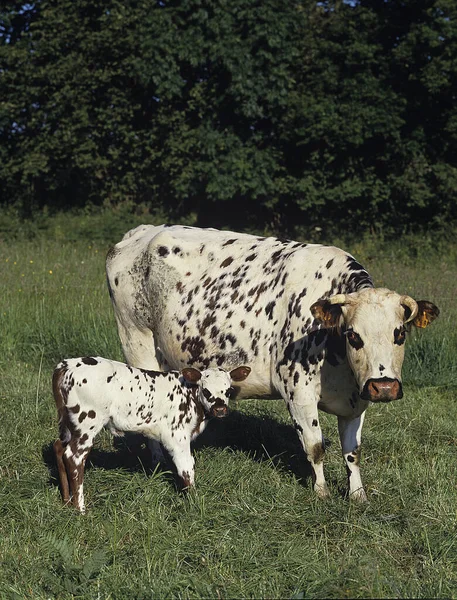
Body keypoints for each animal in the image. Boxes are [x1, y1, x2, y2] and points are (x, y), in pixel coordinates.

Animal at [52, 356, 249, 510]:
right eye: (206, 391)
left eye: (228, 391)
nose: (220, 409)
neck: (189, 393)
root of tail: (67, 364)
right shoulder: (177, 437)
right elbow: (186, 468)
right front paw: (194, 502)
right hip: (87, 424)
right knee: (74, 457)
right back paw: (80, 508)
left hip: (69, 425)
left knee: (59, 448)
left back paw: (66, 501)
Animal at [104, 225, 438, 502]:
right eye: (353, 335)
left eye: (400, 333)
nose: (384, 387)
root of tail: (142, 232)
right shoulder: (298, 392)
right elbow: (315, 447)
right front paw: (321, 493)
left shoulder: (357, 399)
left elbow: (352, 452)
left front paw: (358, 496)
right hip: (137, 342)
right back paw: (159, 463)